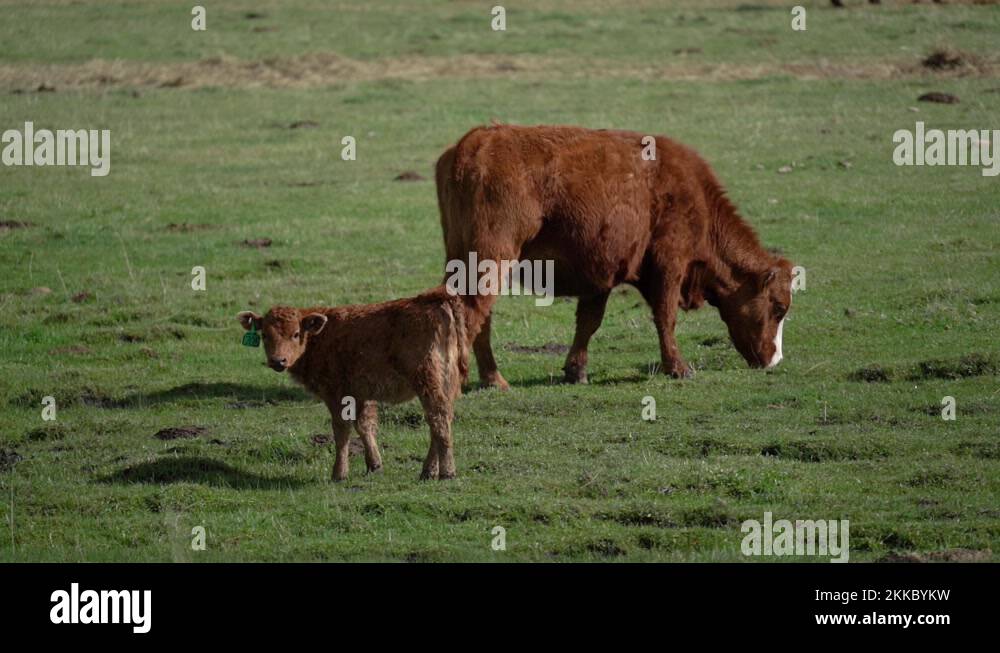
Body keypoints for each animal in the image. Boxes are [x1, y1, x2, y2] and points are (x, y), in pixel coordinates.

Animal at [237, 286, 469, 481]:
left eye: (295, 334)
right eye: (264, 335)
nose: (278, 361)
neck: (320, 337)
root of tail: (434, 300)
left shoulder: (336, 394)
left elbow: (341, 431)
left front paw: (339, 473)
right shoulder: (360, 394)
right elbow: (364, 425)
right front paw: (374, 465)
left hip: (427, 381)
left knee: (438, 418)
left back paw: (446, 472)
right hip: (444, 382)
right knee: (440, 419)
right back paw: (428, 471)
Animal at [435, 124, 794, 389]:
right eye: (778, 308)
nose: (773, 360)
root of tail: (474, 142)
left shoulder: (600, 275)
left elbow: (589, 322)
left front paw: (576, 371)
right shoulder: (670, 265)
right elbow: (665, 316)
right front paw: (678, 368)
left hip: (463, 259)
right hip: (493, 260)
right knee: (473, 311)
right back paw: (484, 380)